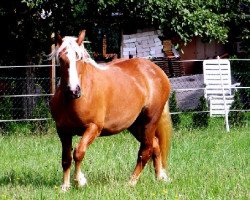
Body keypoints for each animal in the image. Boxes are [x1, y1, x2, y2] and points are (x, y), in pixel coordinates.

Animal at [49, 30, 173, 191]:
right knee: (155, 145)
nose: (74, 90)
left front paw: (80, 181)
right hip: (135, 125)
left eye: (79, 58)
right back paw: (160, 177)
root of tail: (156, 71)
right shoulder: (63, 131)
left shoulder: (93, 128)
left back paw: (131, 182)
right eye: (61, 58)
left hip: (149, 121)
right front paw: (65, 186)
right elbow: (66, 158)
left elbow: (78, 152)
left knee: (145, 151)